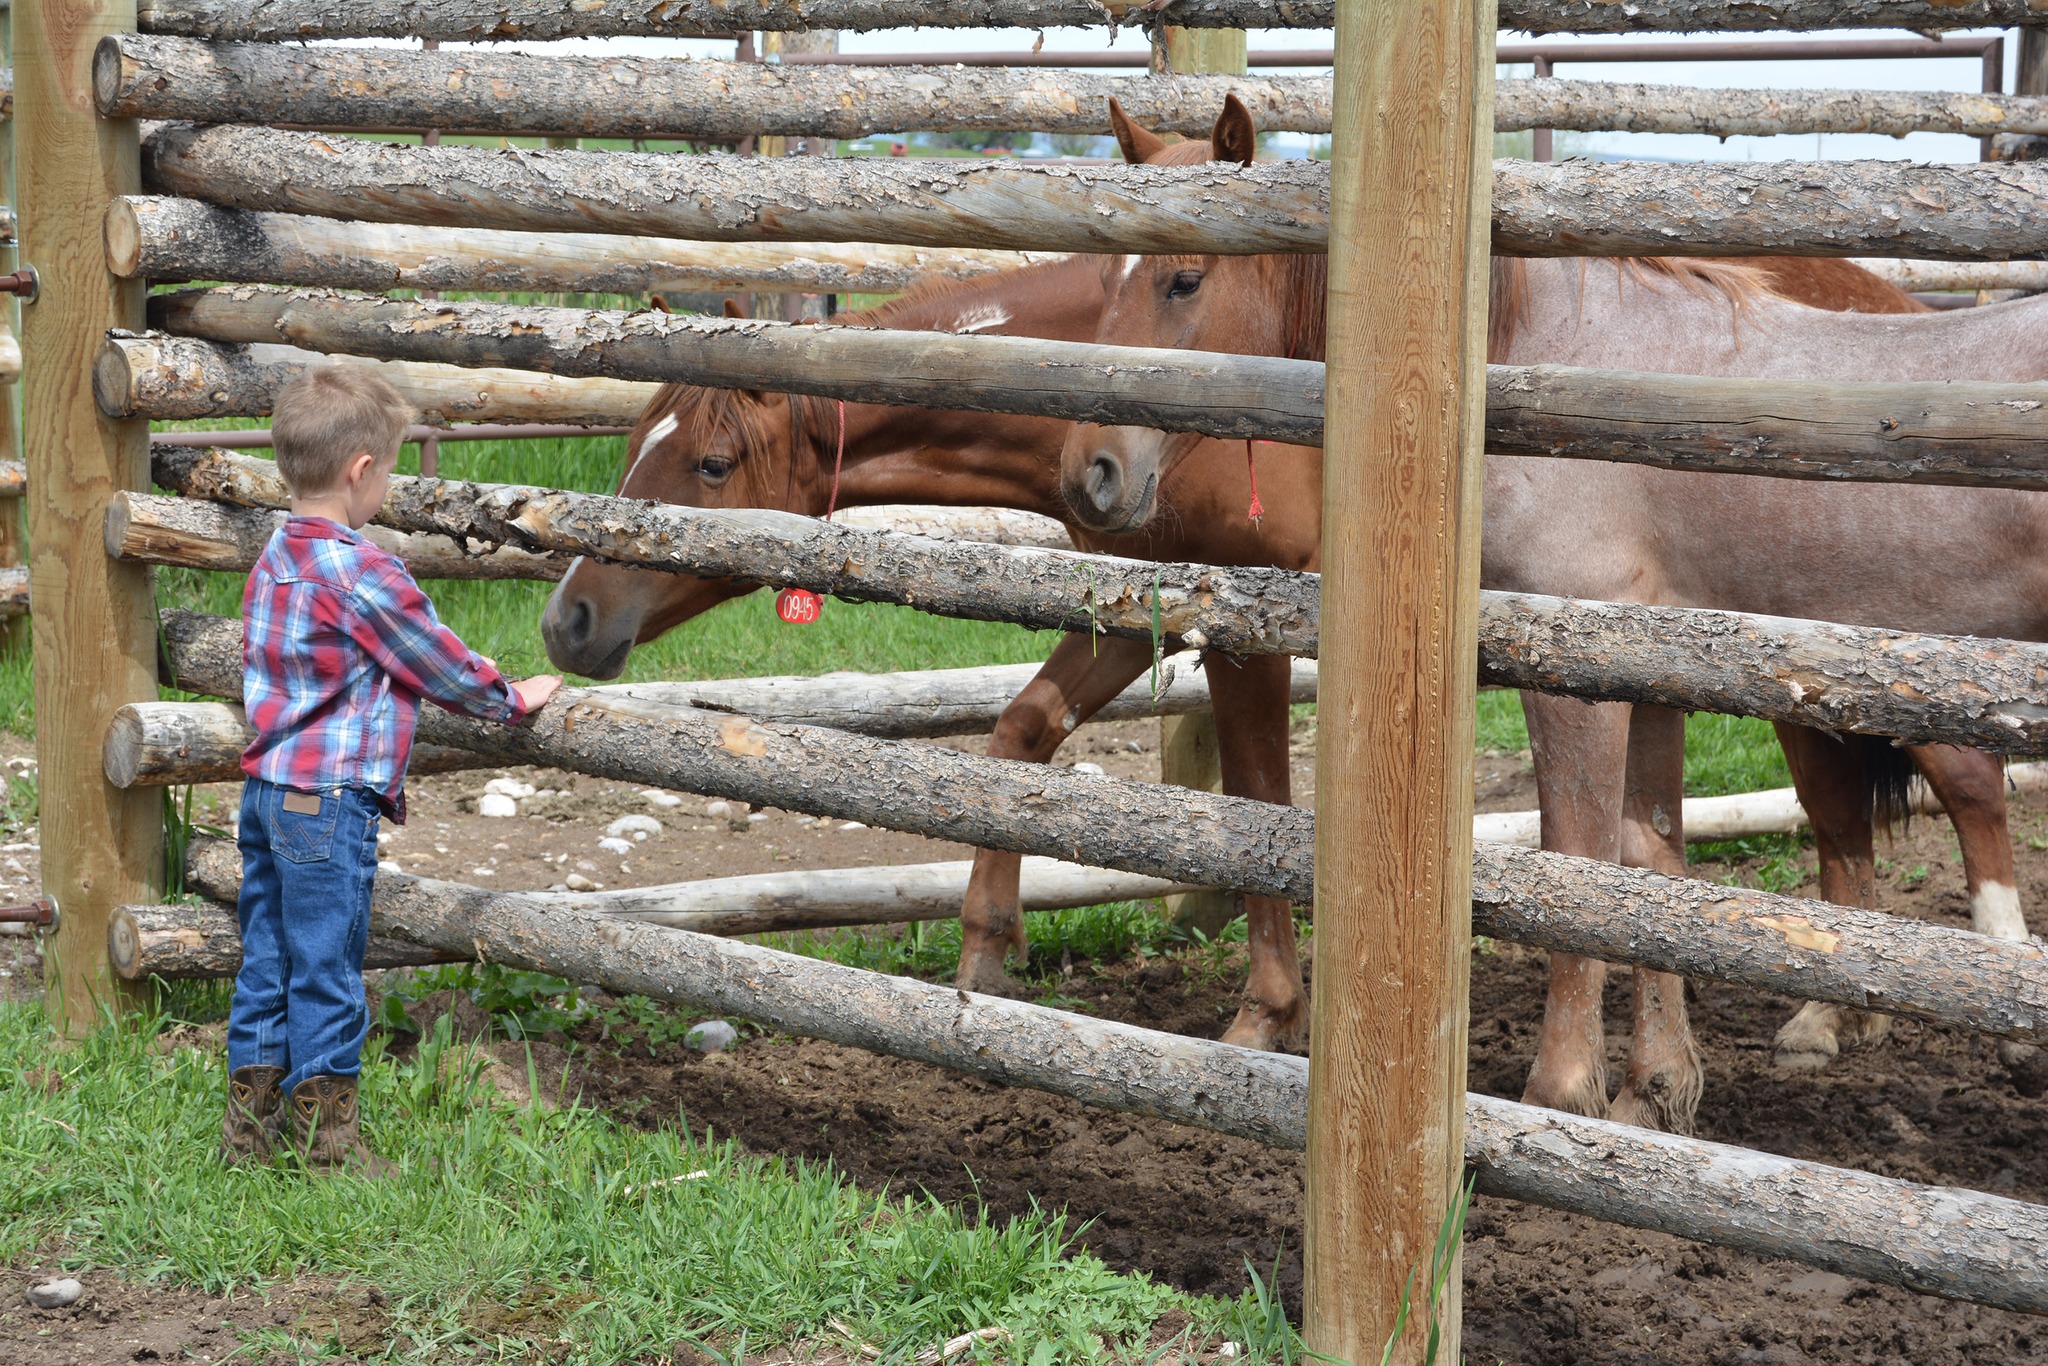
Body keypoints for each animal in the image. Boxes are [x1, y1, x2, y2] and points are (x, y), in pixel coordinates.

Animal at [544, 255, 1335, 1048]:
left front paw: (1267, 1015)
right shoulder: (1141, 605)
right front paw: (986, 954)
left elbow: (1258, 800)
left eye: (713, 465)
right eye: (634, 446)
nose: (566, 621)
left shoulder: (1251, 627)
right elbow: (1024, 729)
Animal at [1064, 90, 2039, 1130]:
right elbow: (1644, 861)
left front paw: (1562, 1088)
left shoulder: (1577, 675)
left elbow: (1575, 856)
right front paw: (1654, 1087)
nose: (1091, 474)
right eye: (1101, 281)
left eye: (1184, 278)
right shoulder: (1652, 671)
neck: (1535, 366)